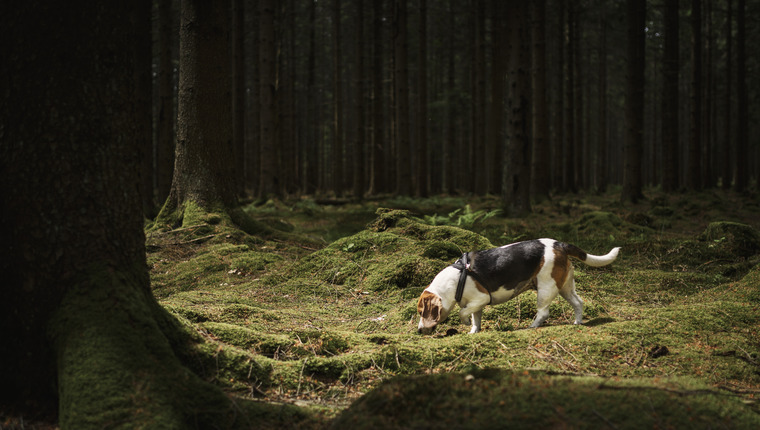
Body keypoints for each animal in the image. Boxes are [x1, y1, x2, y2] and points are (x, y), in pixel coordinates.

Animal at [418, 240, 620, 334]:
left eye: (421, 312)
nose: (419, 330)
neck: (458, 277)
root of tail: (559, 244)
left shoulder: (481, 298)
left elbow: (463, 312)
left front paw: (466, 323)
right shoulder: (476, 304)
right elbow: (476, 318)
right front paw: (474, 330)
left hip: (546, 287)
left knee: (543, 312)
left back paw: (532, 326)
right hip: (565, 286)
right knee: (578, 302)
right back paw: (578, 322)